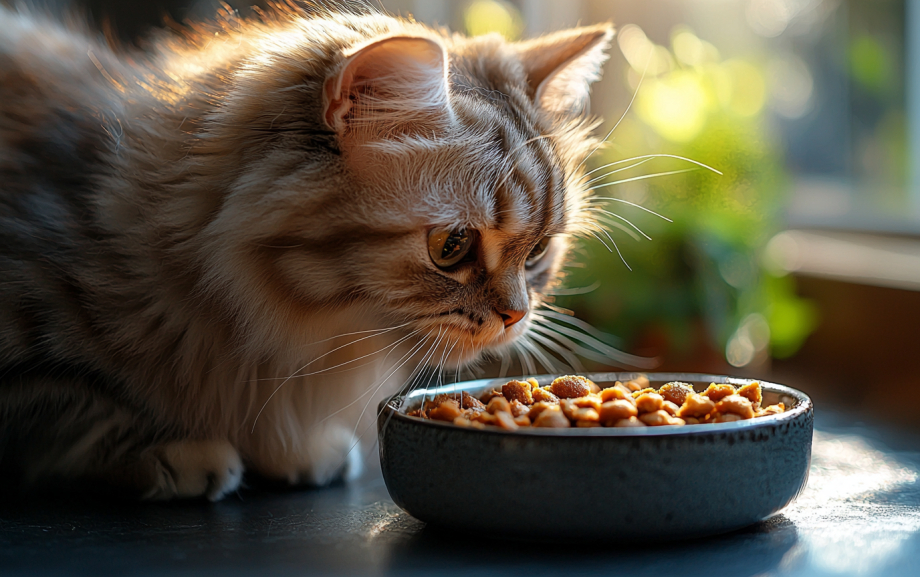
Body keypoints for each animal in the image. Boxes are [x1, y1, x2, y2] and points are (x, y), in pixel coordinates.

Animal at [1, 2, 620, 500]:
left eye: (537, 252)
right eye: (452, 246)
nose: (516, 315)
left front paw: (290, 450)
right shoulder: (29, 346)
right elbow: (79, 408)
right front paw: (181, 453)